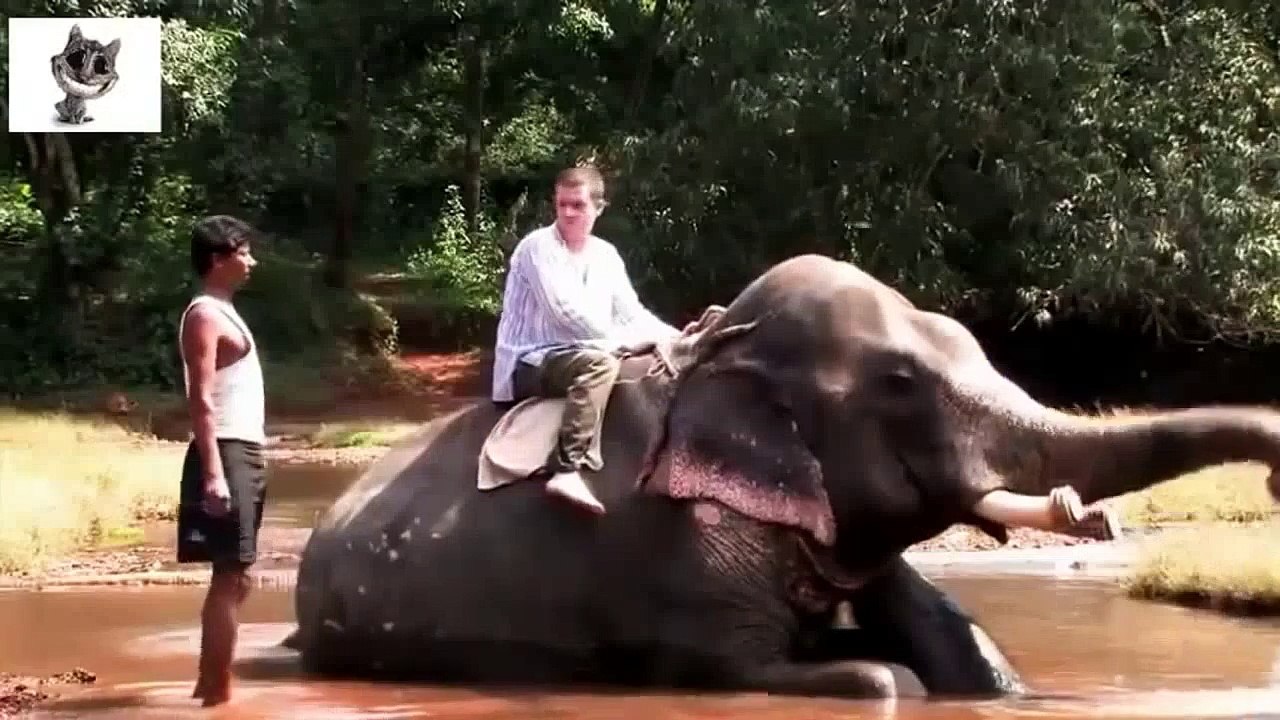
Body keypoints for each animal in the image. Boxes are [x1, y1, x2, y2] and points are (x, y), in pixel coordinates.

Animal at [285, 253, 1280, 699]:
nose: (1273, 482)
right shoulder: (673, 551)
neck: (721, 357)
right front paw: (874, 674)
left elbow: (967, 652)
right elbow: (784, 670)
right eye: (902, 384)